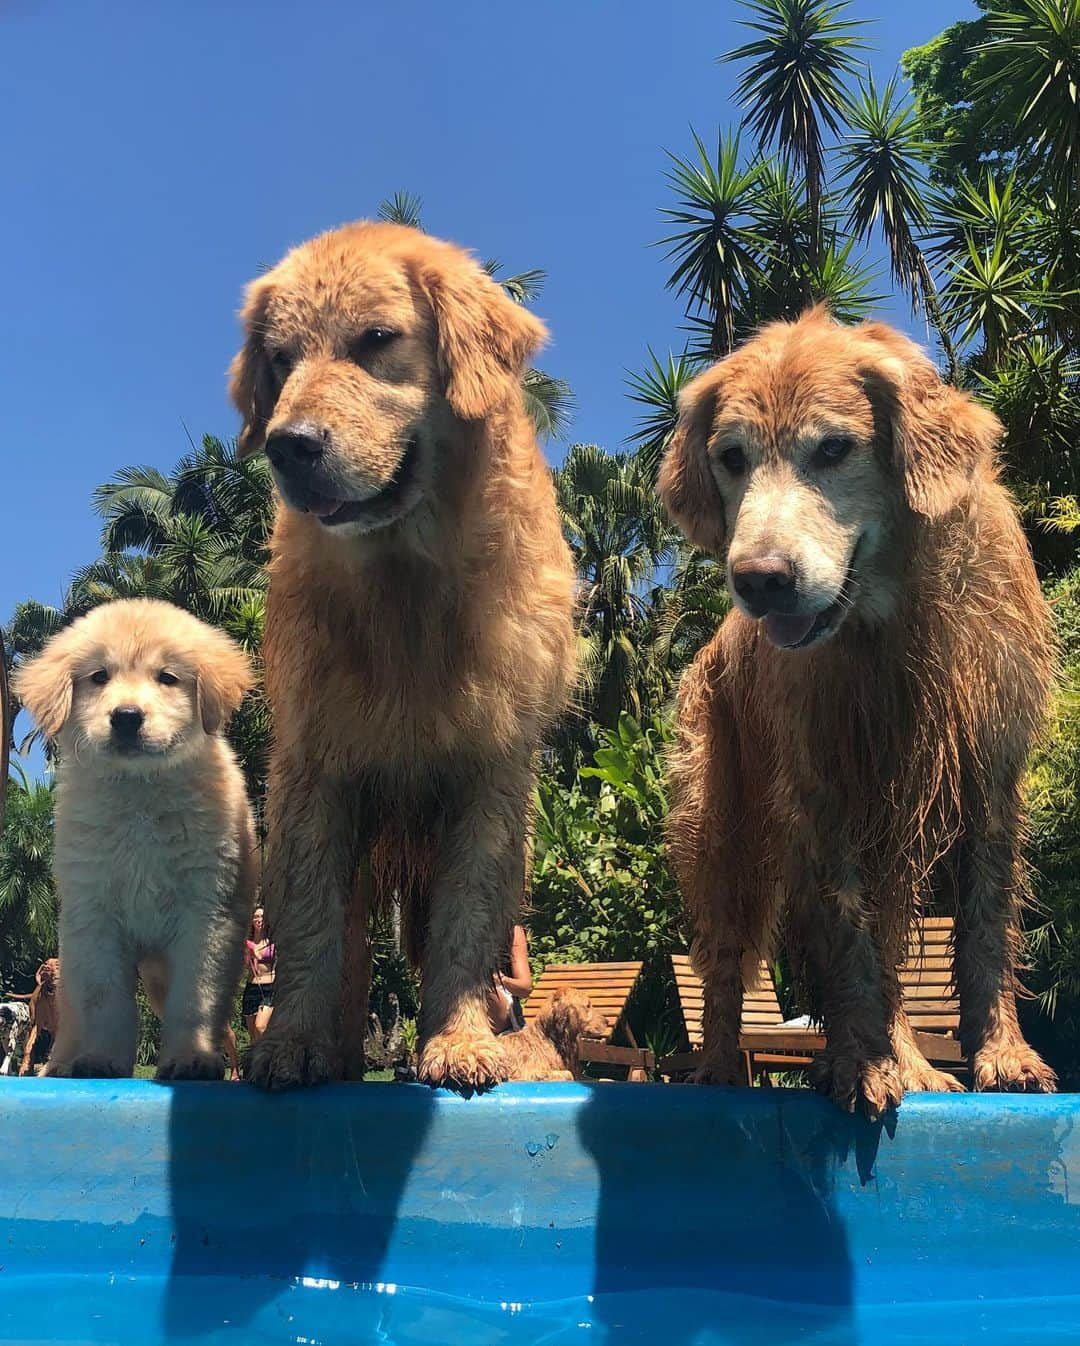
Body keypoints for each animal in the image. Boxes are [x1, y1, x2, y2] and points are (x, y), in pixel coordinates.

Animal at [14, 603, 254, 1082]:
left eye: (167, 677)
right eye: (99, 676)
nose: (126, 716)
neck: (140, 791)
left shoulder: (207, 914)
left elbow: (194, 1001)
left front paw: (191, 1058)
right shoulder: (95, 917)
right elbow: (104, 1003)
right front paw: (101, 1060)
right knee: (72, 1017)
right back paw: (61, 1064)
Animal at [230, 218, 576, 1082]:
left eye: (377, 340)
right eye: (280, 360)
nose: (287, 446)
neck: (406, 585)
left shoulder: (491, 778)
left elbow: (466, 925)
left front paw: (457, 1043)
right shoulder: (315, 772)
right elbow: (313, 931)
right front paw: (291, 1043)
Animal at [657, 312, 1050, 1114]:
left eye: (834, 448)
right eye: (732, 458)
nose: (761, 581)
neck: (888, 619)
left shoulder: (991, 776)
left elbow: (986, 922)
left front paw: (1001, 1054)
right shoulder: (821, 793)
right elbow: (846, 941)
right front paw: (860, 1065)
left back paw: (916, 1062)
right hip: (722, 825)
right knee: (724, 957)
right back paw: (719, 1066)